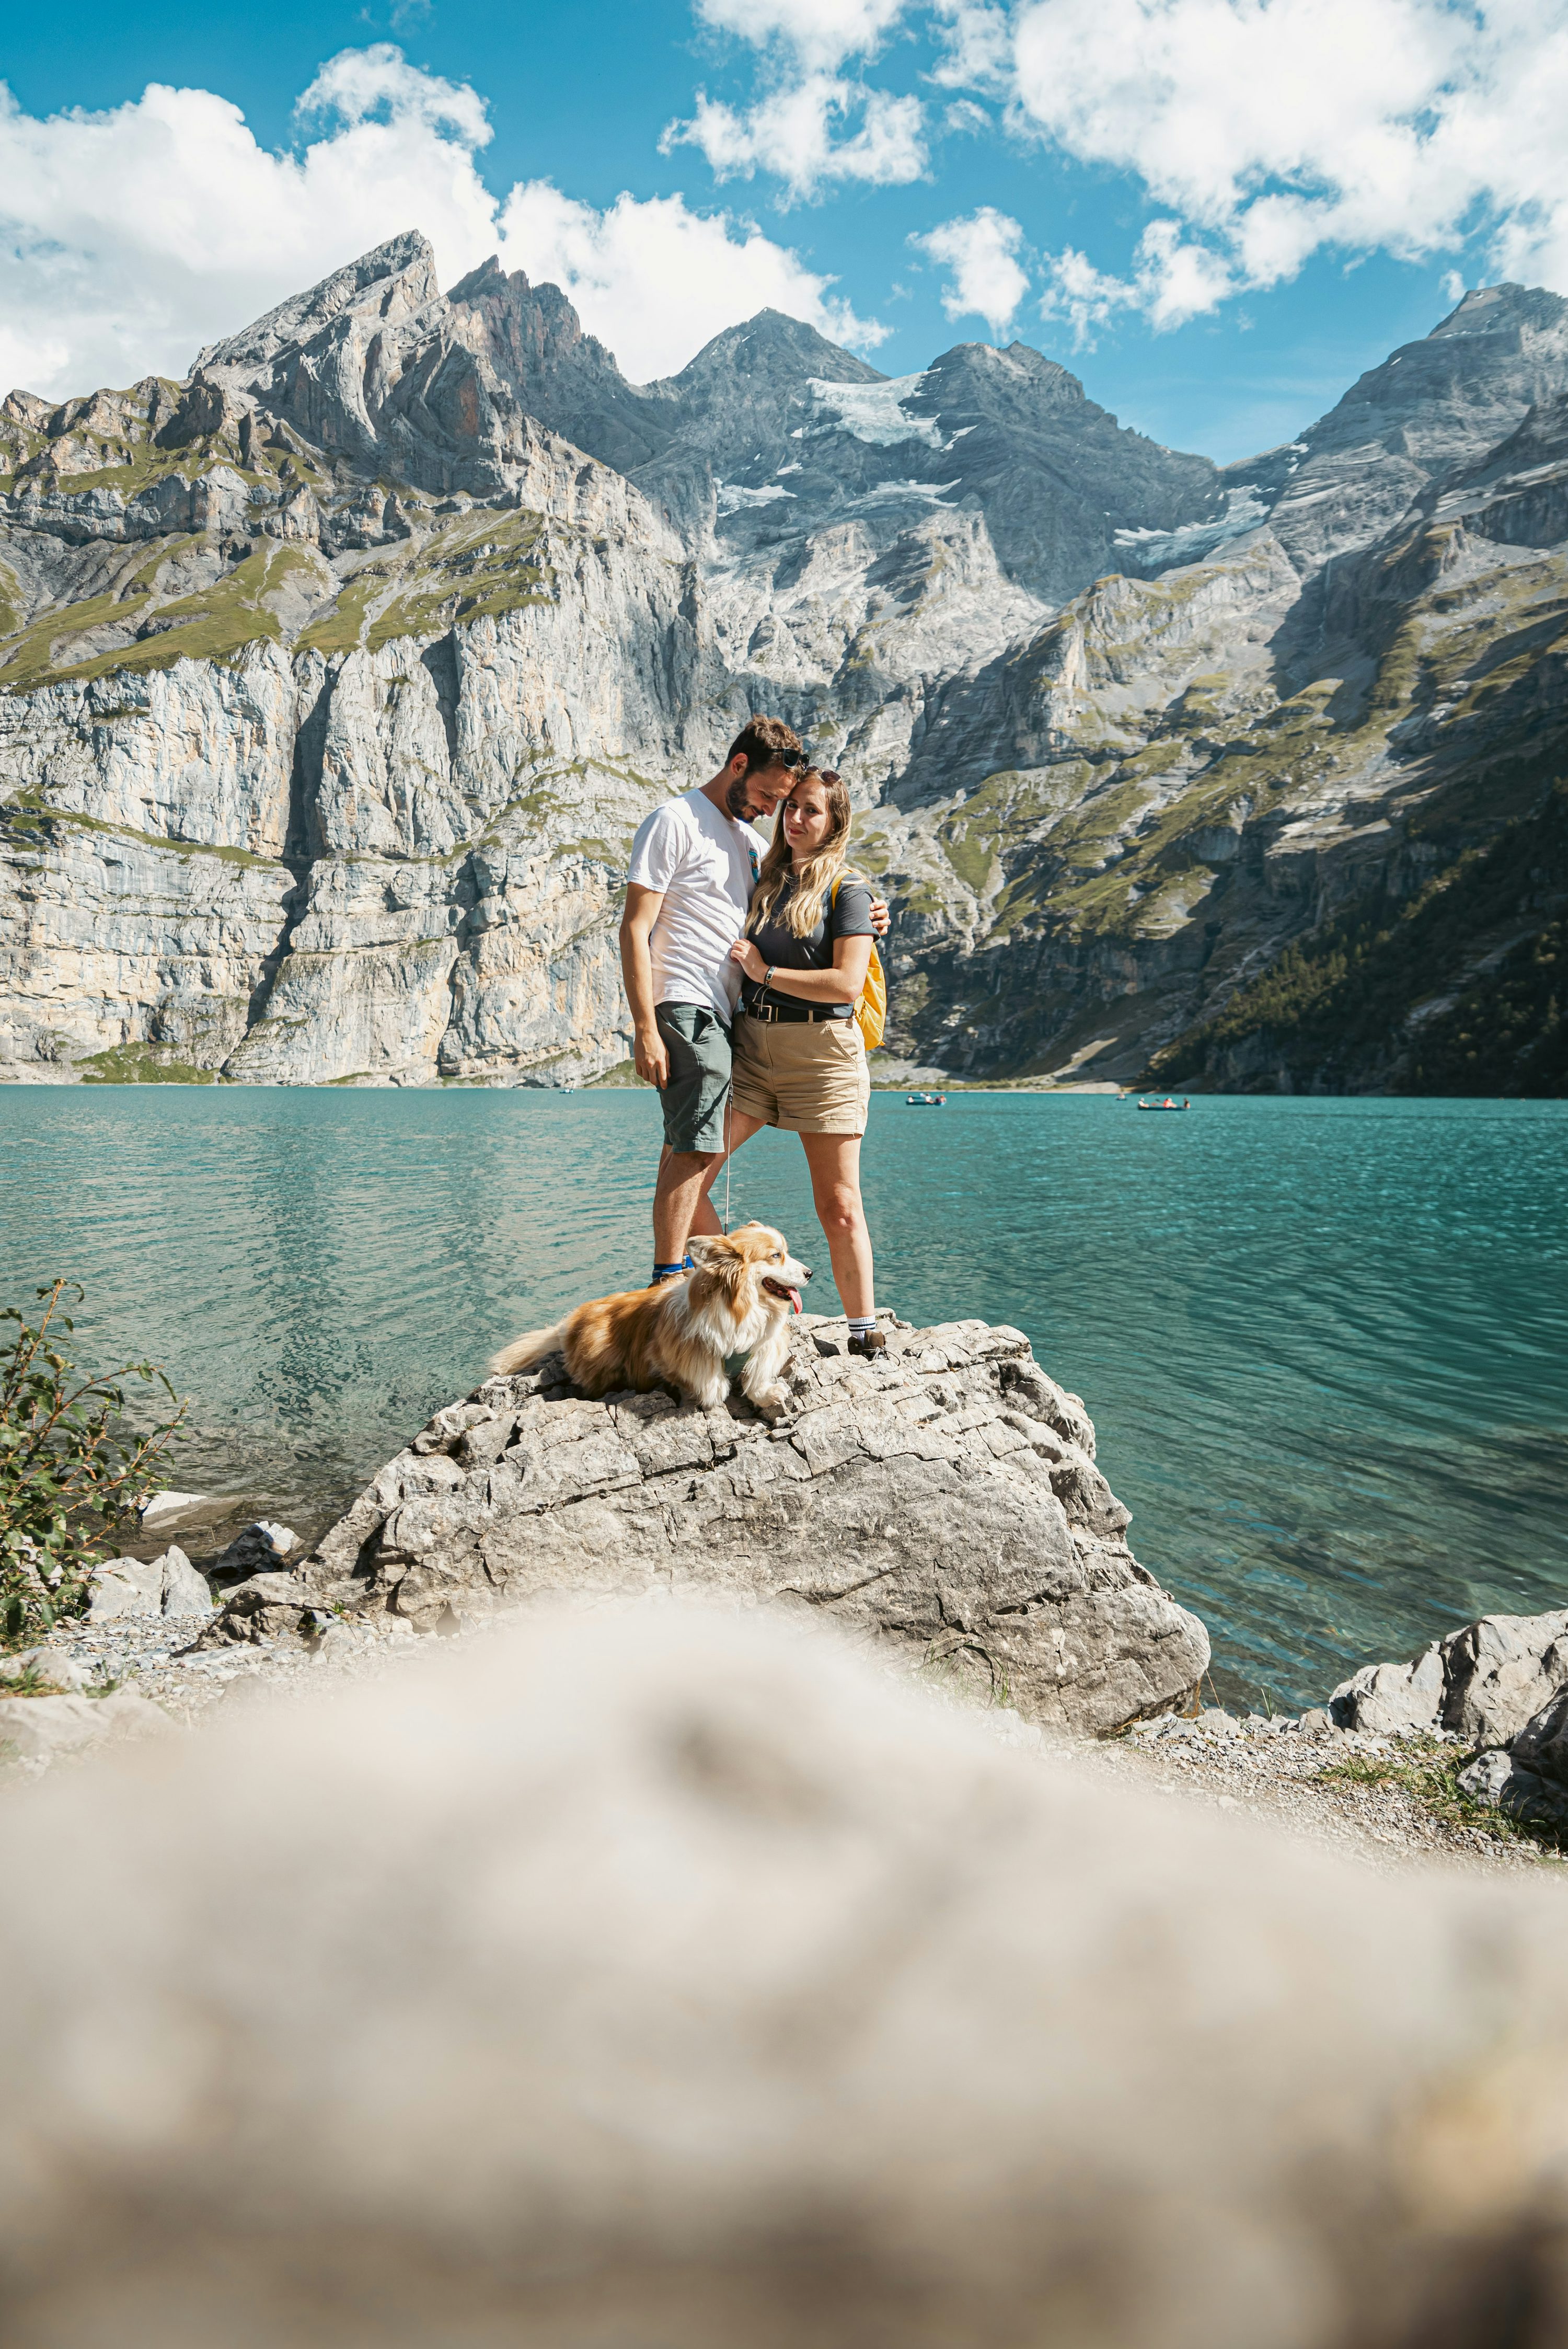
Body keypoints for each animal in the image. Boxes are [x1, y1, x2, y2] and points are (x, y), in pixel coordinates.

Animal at [486, 1230, 807, 1409]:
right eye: (776, 1256)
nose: (810, 1273)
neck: (744, 1308)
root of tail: (567, 1327)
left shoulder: (766, 1342)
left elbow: (758, 1371)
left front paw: (768, 1394)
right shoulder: (671, 1353)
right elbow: (708, 1381)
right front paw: (712, 1391)